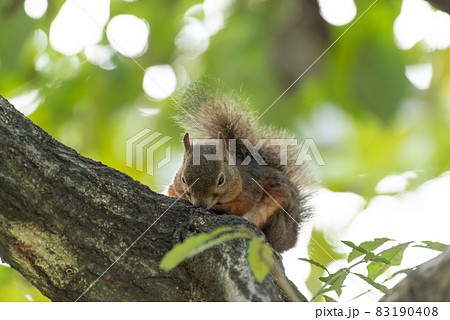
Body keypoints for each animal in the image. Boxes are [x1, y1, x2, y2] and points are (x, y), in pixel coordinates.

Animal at [169, 83, 312, 252]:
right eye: (183, 179)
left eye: (221, 179)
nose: (200, 205)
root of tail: (291, 238)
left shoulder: (248, 188)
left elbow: (242, 205)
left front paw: (218, 209)